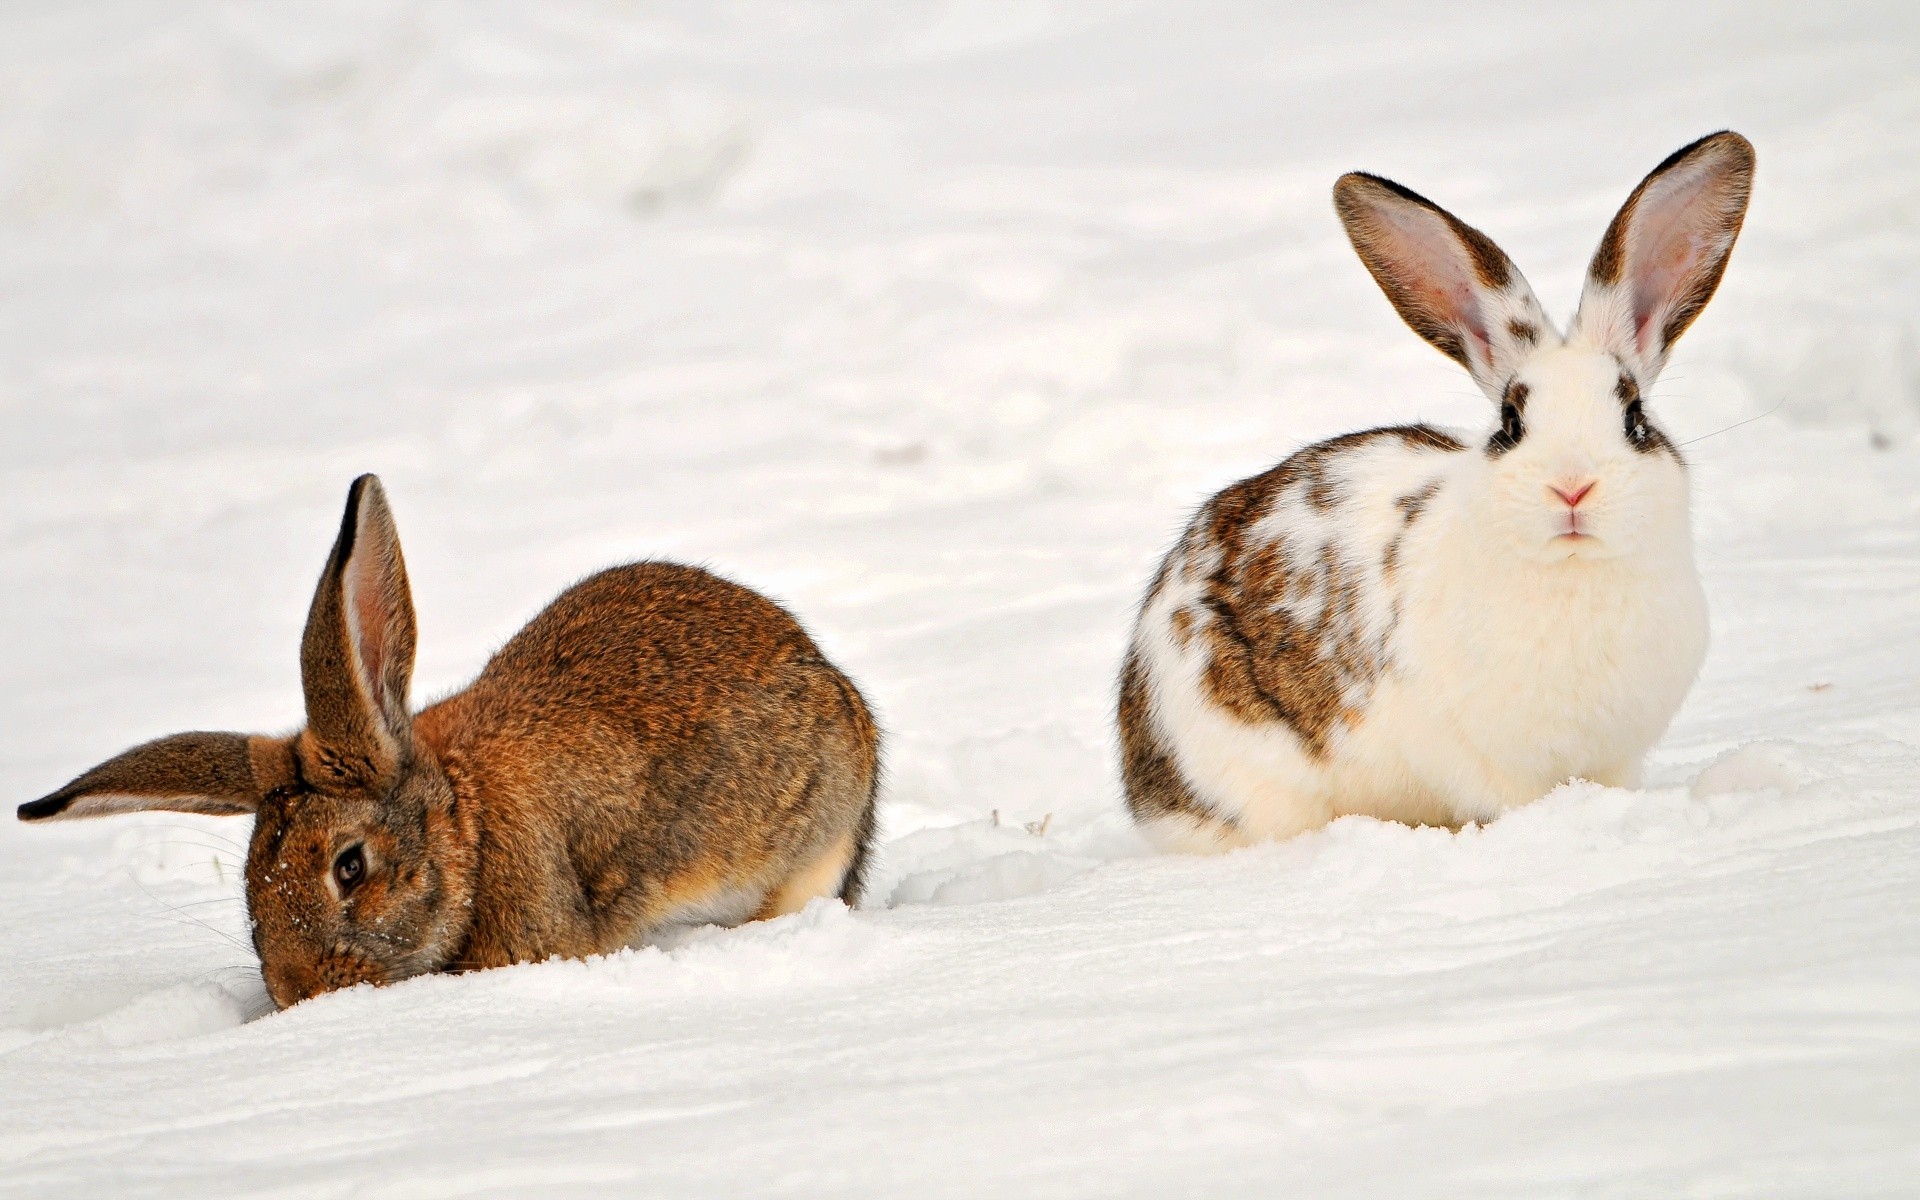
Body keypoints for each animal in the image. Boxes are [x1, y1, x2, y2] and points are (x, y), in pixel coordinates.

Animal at [1121, 130, 1758, 848]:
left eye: (1634, 418)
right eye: (1510, 423)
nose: (1572, 488)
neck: (1573, 575)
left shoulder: (1615, 756)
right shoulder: (1482, 762)